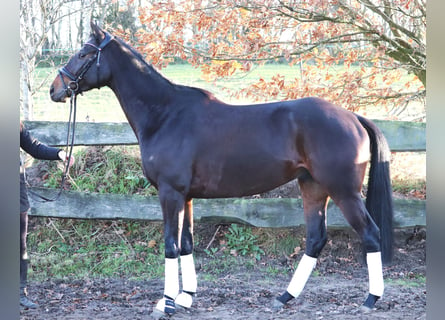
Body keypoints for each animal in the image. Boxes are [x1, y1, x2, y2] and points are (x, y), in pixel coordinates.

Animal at [49, 22, 392, 316]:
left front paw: (167, 303)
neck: (166, 114)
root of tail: (352, 117)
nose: (55, 90)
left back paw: (370, 299)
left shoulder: (170, 193)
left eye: (83, 53)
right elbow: (186, 243)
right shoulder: (185, 196)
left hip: (344, 192)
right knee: (315, 239)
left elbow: (171, 245)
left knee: (370, 234)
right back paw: (285, 297)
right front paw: (186, 298)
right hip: (312, 187)